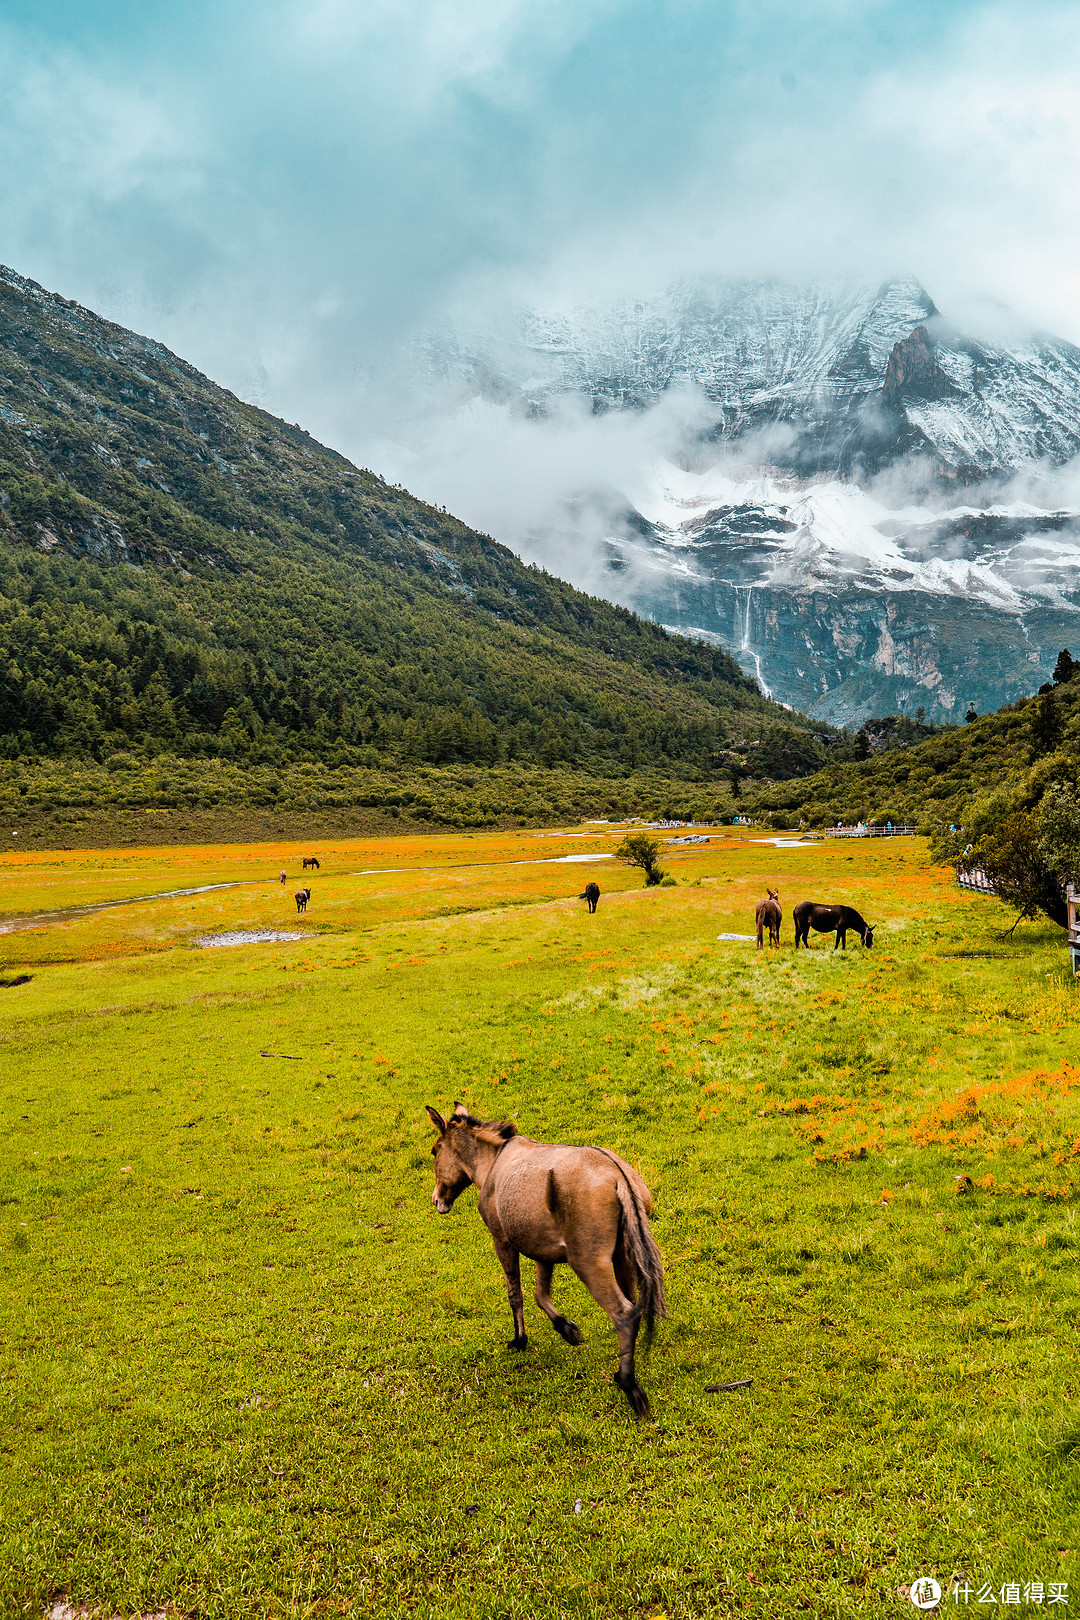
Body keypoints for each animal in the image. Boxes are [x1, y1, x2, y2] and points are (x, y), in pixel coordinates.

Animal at [424, 1101, 663, 1419]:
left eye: (435, 1151)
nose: (438, 1200)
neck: (494, 1162)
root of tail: (616, 1176)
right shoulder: (542, 1252)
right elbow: (541, 1294)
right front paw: (568, 1329)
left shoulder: (503, 1242)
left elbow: (516, 1294)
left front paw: (520, 1340)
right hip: (622, 1258)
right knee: (634, 1307)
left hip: (589, 1264)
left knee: (623, 1313)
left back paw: (628, 1385)